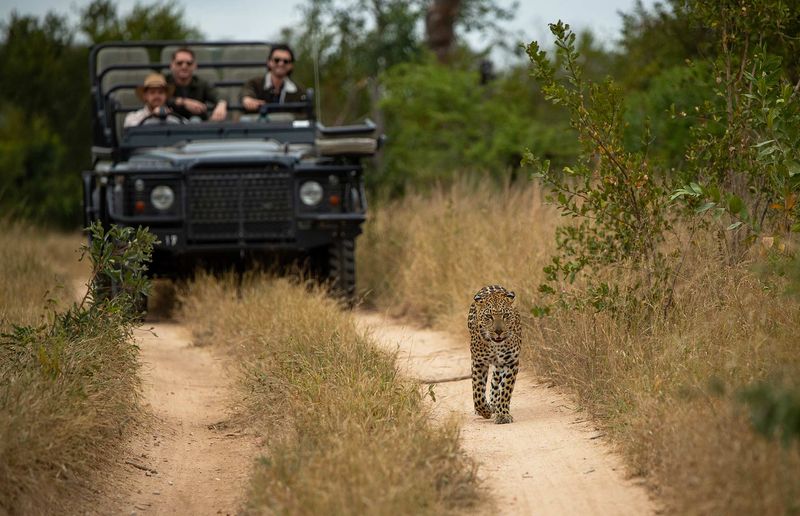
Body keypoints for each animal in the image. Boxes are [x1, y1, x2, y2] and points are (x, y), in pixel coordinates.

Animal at [467, 284, 522, 424]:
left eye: (506, 315)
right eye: (488, 316)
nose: (498, 331)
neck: (495, 346)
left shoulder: (511, 361)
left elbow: (505, 390)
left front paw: (502, 414)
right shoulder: (478, 362)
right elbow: (478, 393)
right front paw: (485, 411)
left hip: (500, 365)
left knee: (496, 384)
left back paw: (494, 405)